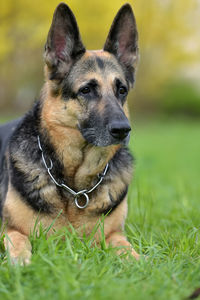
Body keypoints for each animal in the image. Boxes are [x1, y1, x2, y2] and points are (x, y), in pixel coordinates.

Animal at [0, 2, 139, 264]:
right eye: (86, 90)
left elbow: (131, 252)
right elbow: (19, 240)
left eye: (122, 90)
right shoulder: (9, 229)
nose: (123, 130)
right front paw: (21, 262)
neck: (75, 187)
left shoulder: (114, 235)